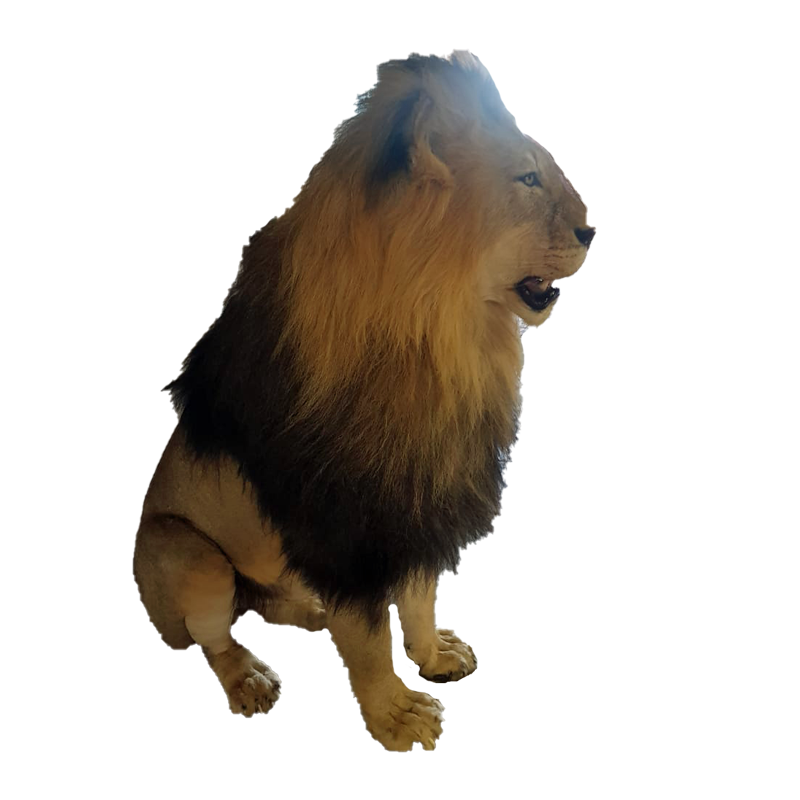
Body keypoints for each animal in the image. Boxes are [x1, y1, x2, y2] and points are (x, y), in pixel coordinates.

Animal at [133, 51, 595, 753]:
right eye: (527, 179)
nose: (595, 228)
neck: (443, 343)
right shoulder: (348, 529)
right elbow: (368, 644)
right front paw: (395, 714)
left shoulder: (419, 500)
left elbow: (420, 596)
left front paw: (430, 655)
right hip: (187, 555)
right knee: (212, 637)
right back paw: (247, 675)